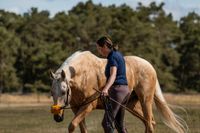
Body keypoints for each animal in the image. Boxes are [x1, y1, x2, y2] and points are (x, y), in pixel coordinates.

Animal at [50, 51, 188, 133]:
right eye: (52, 93)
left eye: (63, 91)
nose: (57, 117)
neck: (83, 73)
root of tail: (150, 66)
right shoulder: (76, 108)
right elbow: (80, 128)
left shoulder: (88, 106)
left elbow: (72, 125)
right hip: (131, 105)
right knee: (149, 122)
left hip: (145, 101)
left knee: (149, 123)